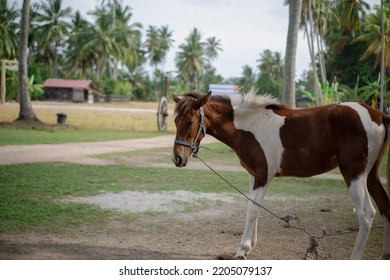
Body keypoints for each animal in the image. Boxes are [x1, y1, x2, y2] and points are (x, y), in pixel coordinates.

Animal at [171, 89, 390, 260]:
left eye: (189, 121)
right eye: (174, 121)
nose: (177, 158)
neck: (251, 126)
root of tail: (378, 114)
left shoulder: (263, 176)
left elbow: (253, 209)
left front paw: (242, 250)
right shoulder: (253, 175)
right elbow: (253, 206)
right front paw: (249, 246)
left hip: (354, 174)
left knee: (366, 214)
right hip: (371, 175)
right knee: (384, 206)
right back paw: (384, 255)